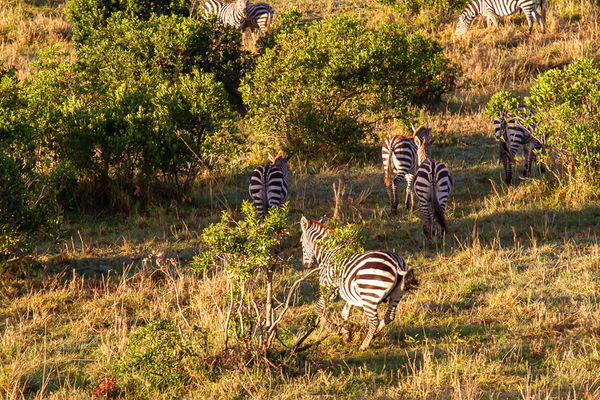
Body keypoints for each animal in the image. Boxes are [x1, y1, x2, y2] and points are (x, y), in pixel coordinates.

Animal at [300, 216, 418, 350]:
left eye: (301, 242)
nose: (306, 265)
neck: (329, 254)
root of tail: (396, 262)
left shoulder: (328, 288)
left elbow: (318, 309)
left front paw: (334, 328)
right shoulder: (348, 293)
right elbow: (345, 313)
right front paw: (346, 335)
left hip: (369, 294)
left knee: (374, 321)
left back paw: (364, 345)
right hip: (397, 294)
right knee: (389, 316)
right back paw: (374, 334)